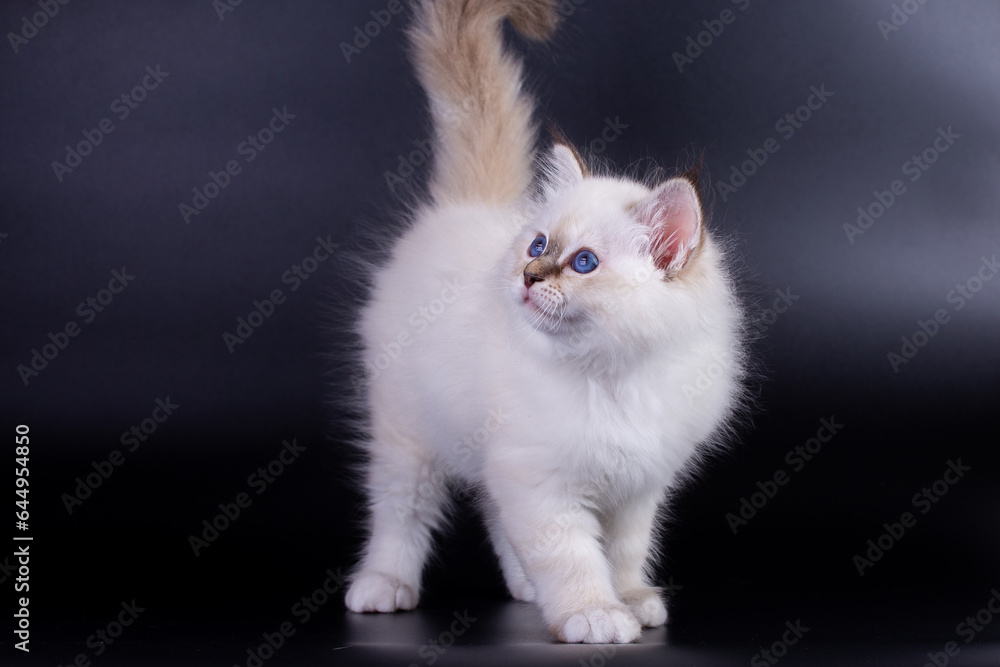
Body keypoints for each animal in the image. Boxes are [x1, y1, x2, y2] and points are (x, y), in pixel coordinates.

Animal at [344, 0, 744, 648]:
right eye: (537, 245)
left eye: (582, 263)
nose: (529, 276)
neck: (613, 375)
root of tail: (467, 207)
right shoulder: (540, 478)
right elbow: (573, 557)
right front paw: (595, 615)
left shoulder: (636, 486)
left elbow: (625, 553)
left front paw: (632, 600)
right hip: (408, 440)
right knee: (400, 516)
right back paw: (383, 587)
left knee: (491, 513)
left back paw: (525, 589)